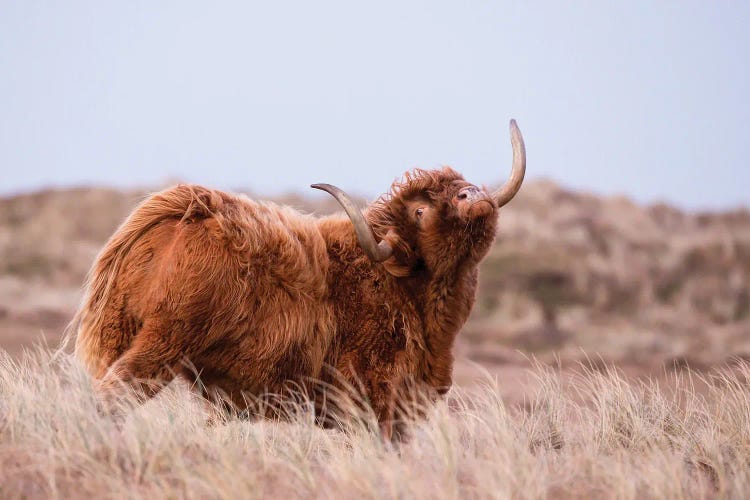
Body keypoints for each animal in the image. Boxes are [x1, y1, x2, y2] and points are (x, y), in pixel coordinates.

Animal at [70, 119, 528, 436]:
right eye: (419, 211)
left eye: (459, 183)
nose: (473, 195)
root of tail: (184, 209)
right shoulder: (374, 398)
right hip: (162, 343)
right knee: (113, 397)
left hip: (124, 336)